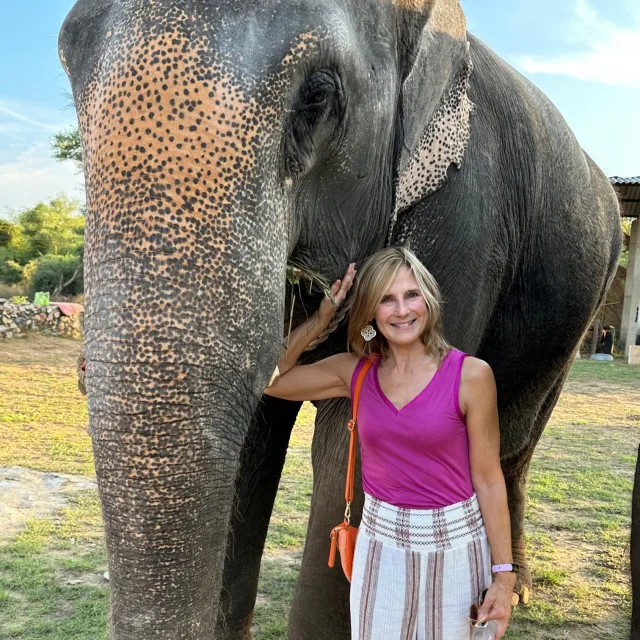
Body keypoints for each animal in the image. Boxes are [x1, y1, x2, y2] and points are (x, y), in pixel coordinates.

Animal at [58, 1, 620, 640]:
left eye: (318, 97)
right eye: (69, 73)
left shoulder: (465, 215)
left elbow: (342, 452)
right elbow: (254, 435)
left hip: (583, 301)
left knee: (515, 440)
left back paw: (516, 593)